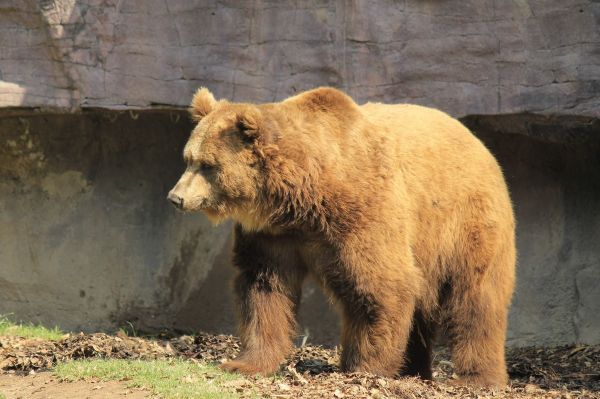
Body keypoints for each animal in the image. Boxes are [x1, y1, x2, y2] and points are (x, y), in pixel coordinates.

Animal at [168, 86, 516, 388]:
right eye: (188, 159)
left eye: (208, 165)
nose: (175, 197)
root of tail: (480, 146)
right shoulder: (272, 236)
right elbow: (263, 289)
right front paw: (244, 363)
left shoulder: (361, 212)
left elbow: (381, 284)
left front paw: (364, 368)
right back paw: (414, 370)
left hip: (465, 223)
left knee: (475, 301)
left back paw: (478, 378)